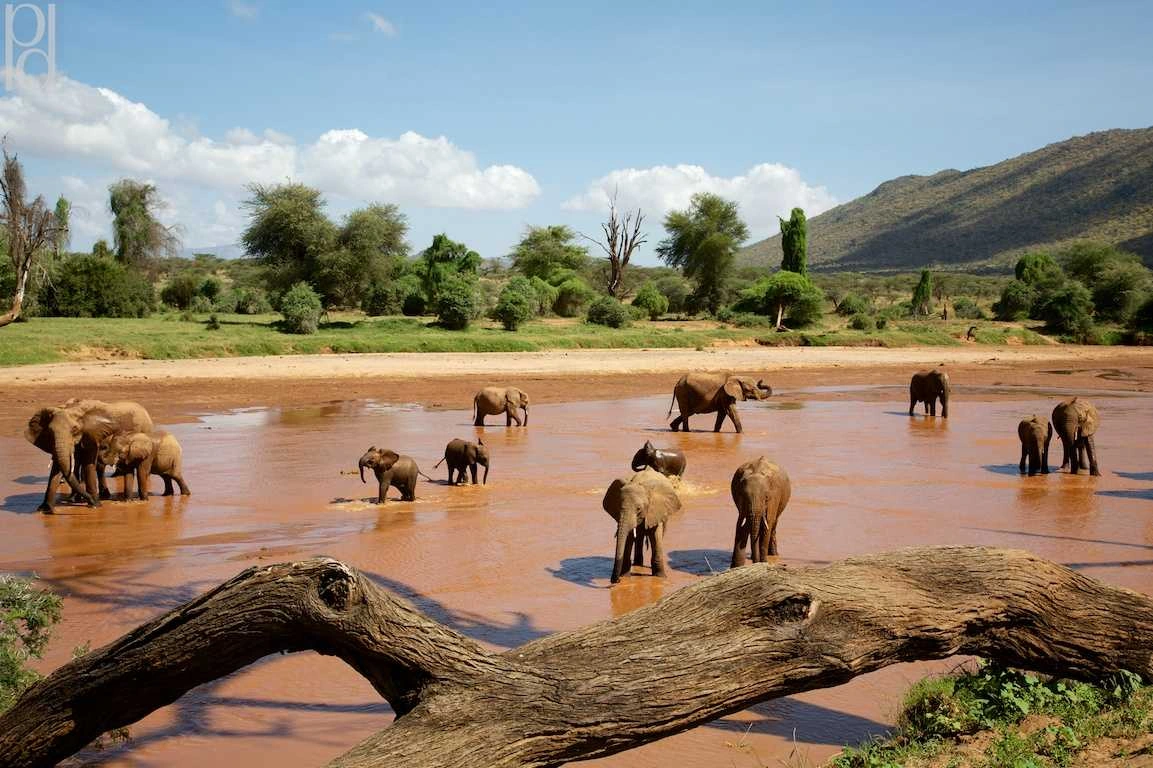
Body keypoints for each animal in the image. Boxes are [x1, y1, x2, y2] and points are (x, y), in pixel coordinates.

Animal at [25, 399, 154, 513]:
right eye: (50, 431)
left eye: (74, 429)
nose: (92, 501)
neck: (73, 409)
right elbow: (58, 467)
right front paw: (45, 509)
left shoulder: (91, 434)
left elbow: (88, 462)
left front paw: (95, 505)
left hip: (145, 430)